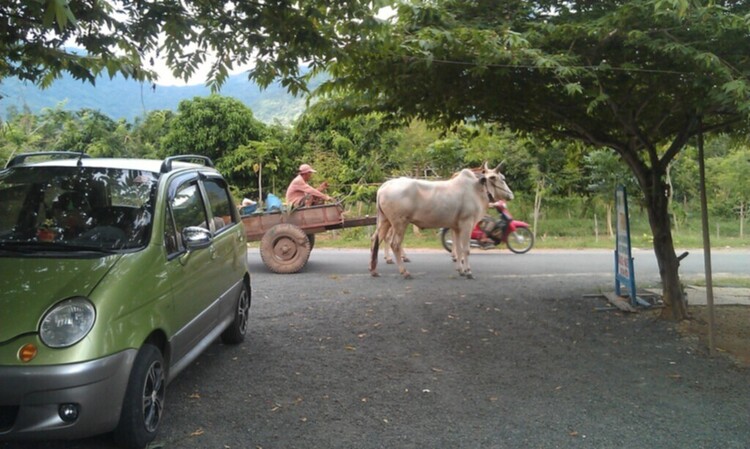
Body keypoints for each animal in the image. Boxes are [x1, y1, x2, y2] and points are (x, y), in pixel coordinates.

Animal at [372, 163, 516, 278]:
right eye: (502, 179)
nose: (511, 195)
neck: (476, 188)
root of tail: (384, 186)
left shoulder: (456, 227)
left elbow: (458, 248)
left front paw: (460, 270)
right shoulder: (467, 224)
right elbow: (465, 249)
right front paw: (468, 271)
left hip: (385, 221)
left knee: (376, 240)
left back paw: (374, 270)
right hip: (399, 223)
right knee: (394, 244)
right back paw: (404, 271)